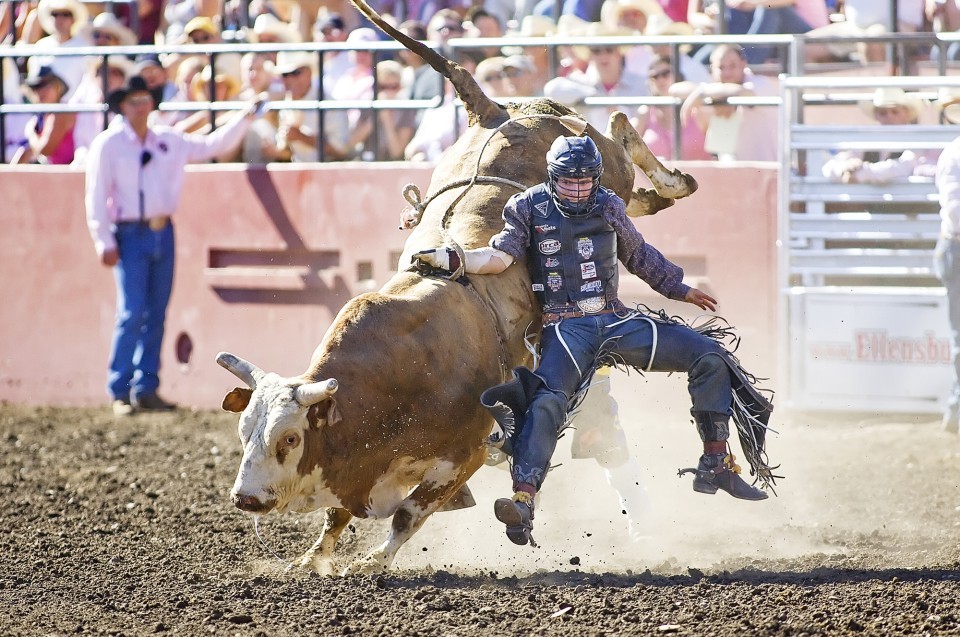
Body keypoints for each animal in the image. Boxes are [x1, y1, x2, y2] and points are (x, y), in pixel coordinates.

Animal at [216, 0, 696, 576]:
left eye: (289, 437)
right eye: (245, 430)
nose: (245, 498)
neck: (394, 382)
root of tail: (497, 111)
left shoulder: (463, 454)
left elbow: (408, 514)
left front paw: (372, 562)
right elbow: (336, 516)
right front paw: (311, 562)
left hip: (609, 164)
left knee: (623, 136)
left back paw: (674, 180)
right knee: (634, 193)